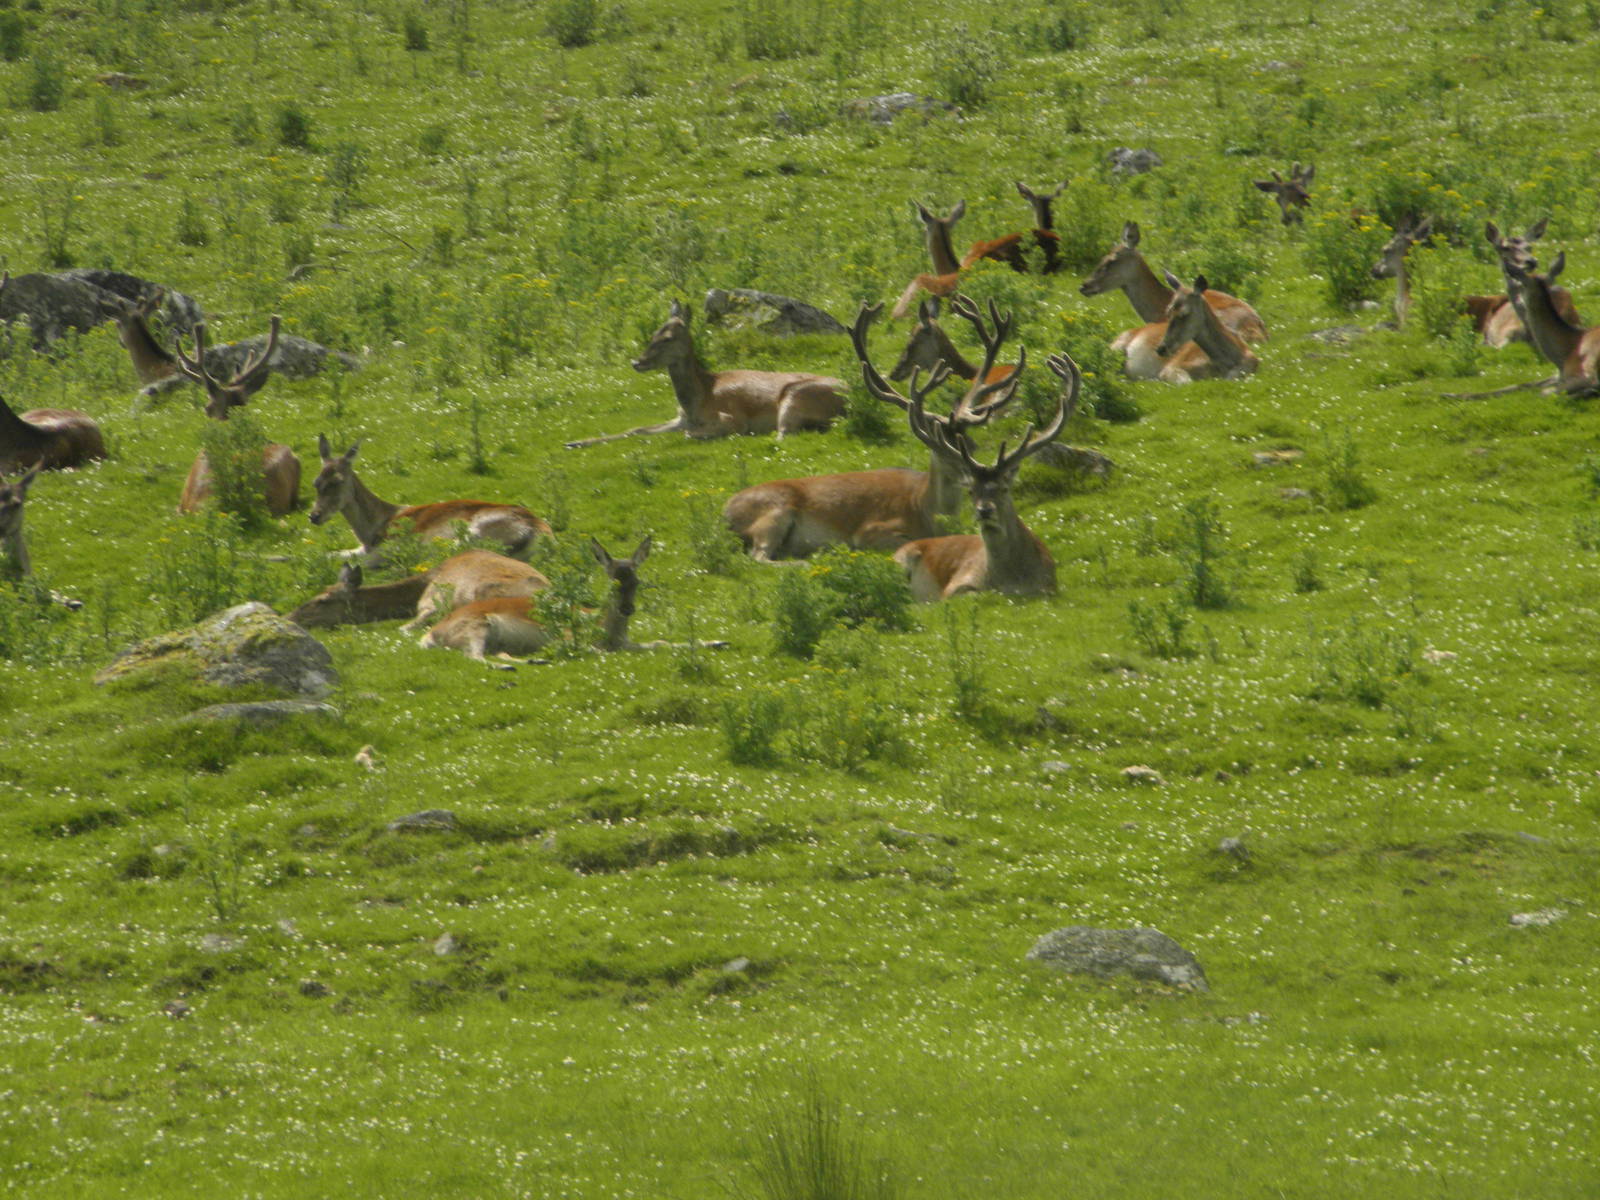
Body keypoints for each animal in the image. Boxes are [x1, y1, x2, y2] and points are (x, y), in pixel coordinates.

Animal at [309, 435, 552, 562]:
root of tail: (538, 532)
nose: (314, 516)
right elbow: (329, 553)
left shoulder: (393, 543)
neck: (372, 530)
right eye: (316, 482)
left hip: (475, 531)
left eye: (338, 481)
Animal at [422, 536, 725, 659]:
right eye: (613, 580)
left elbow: (660, 642)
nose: (628, 609)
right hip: (477, 626)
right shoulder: (567, 637)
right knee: (474, 656)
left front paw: (717, 641)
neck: (605, 631)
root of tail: (431, 634)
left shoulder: (625, 643)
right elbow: (591, 649)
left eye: (637, 580)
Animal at [564, 301, 845, 448]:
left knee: (786, 432)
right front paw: (576, 442)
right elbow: (637, 429)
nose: (637, 362)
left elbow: (693, 433)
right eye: (653, 333)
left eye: (667, 338)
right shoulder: (680, 418)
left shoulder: (731, 417)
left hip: (795, 395)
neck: (699, 398)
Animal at [723, 298, 1024, 561]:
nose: (977, 476)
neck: (924, 509)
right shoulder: (869, 531)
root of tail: (724, 514)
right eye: (941, 448)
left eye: (971, 445)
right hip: (773, 514)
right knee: (758, 556)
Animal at [892, 353, 1076, 601]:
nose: (984, 510)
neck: (1010, 582)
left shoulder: (1050, 588)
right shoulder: (955, 587)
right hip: (900, 562)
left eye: (1004, 488)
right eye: (971, 490)